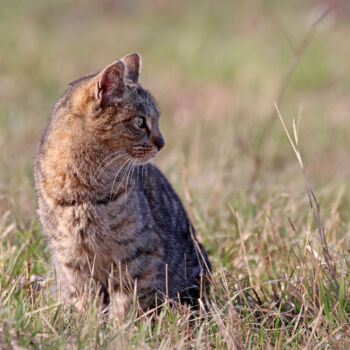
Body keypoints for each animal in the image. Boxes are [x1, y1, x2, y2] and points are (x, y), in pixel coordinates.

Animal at [34, 52, 211, 320]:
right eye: (139, 121)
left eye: (157, 119)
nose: (162, 142)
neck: (82, 188)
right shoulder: (73, 261)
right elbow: (85, 302)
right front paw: (87, 325)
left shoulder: (136, 257)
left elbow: (127, 304)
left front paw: (120, 328)